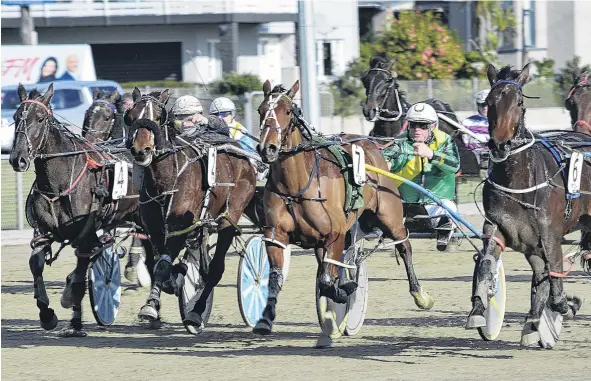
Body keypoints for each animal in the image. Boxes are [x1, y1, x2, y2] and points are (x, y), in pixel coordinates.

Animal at [127, 87, 256, 330]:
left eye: (158, 117)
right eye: (130, 116)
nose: (142, 150)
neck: (165, 179)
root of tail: (244, 158)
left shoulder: (179, 226)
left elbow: (162, 267)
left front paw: (152, 304)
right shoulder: (154, 230)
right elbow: (156, 264)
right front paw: (171, 282)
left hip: (229, 218)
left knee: (215, 270)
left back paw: (196, 313)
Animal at [252, 80, 432, 338]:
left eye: (286, 111)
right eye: (260, 109)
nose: (268, 148)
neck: (296, 187)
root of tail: (371, 144)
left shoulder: (335, 234)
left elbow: (329, 280)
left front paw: (344, 290)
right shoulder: (276, 236)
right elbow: (278, 277)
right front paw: (265, 319)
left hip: (390, 216)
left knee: (404, 246)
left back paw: (420, 294)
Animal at [468, 64, 588, 348]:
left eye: (520, 102)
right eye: (489, 102)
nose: (500, 145)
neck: (518, 178)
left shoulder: (550, 237)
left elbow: (555, 285)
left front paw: (569, 305)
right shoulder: (499, 229)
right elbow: (487, 265)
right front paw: (478, 310)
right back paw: (533, 322)